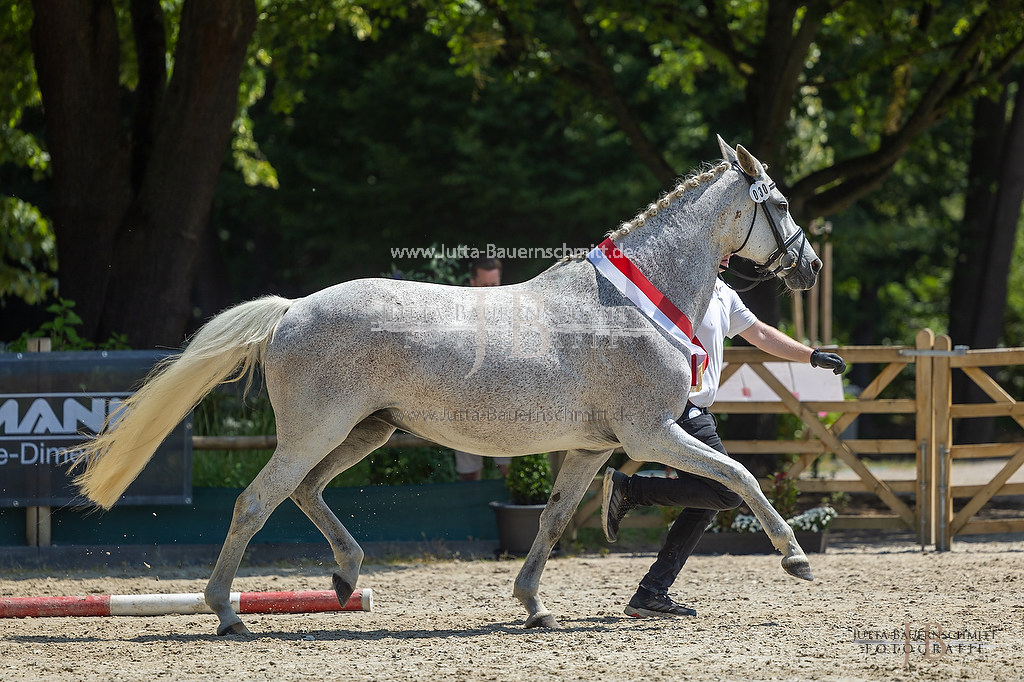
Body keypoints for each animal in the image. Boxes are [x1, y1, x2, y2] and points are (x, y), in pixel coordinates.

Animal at [74, 135, 823, 634]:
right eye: (783, 203)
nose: (811, 266)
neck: (633, 305)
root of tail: (292, 310)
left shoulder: (592, 448)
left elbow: (553, 520)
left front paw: (534, 605)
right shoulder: (650, 434)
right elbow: (740, 476)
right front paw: (795, 559)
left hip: (365, 432)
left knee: (307, 491)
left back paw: (345, 577)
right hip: (317, 430)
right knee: (258, 501)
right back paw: (229, 612)